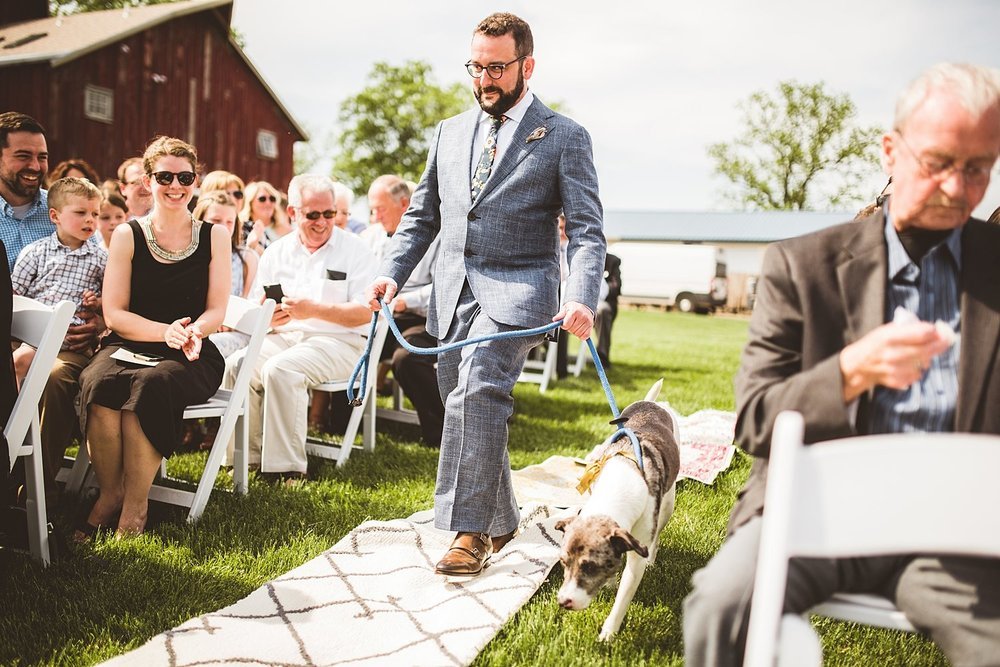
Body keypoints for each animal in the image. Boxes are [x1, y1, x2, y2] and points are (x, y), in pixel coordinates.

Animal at [556, 378, 680, 640]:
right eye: (563, 562)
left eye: (590, 566)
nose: (563, 602)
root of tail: (654, 403)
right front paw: (610, 582)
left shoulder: (637, 550)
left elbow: (624, 596)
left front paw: (609, 632)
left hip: (668, 504)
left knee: (657, 534)